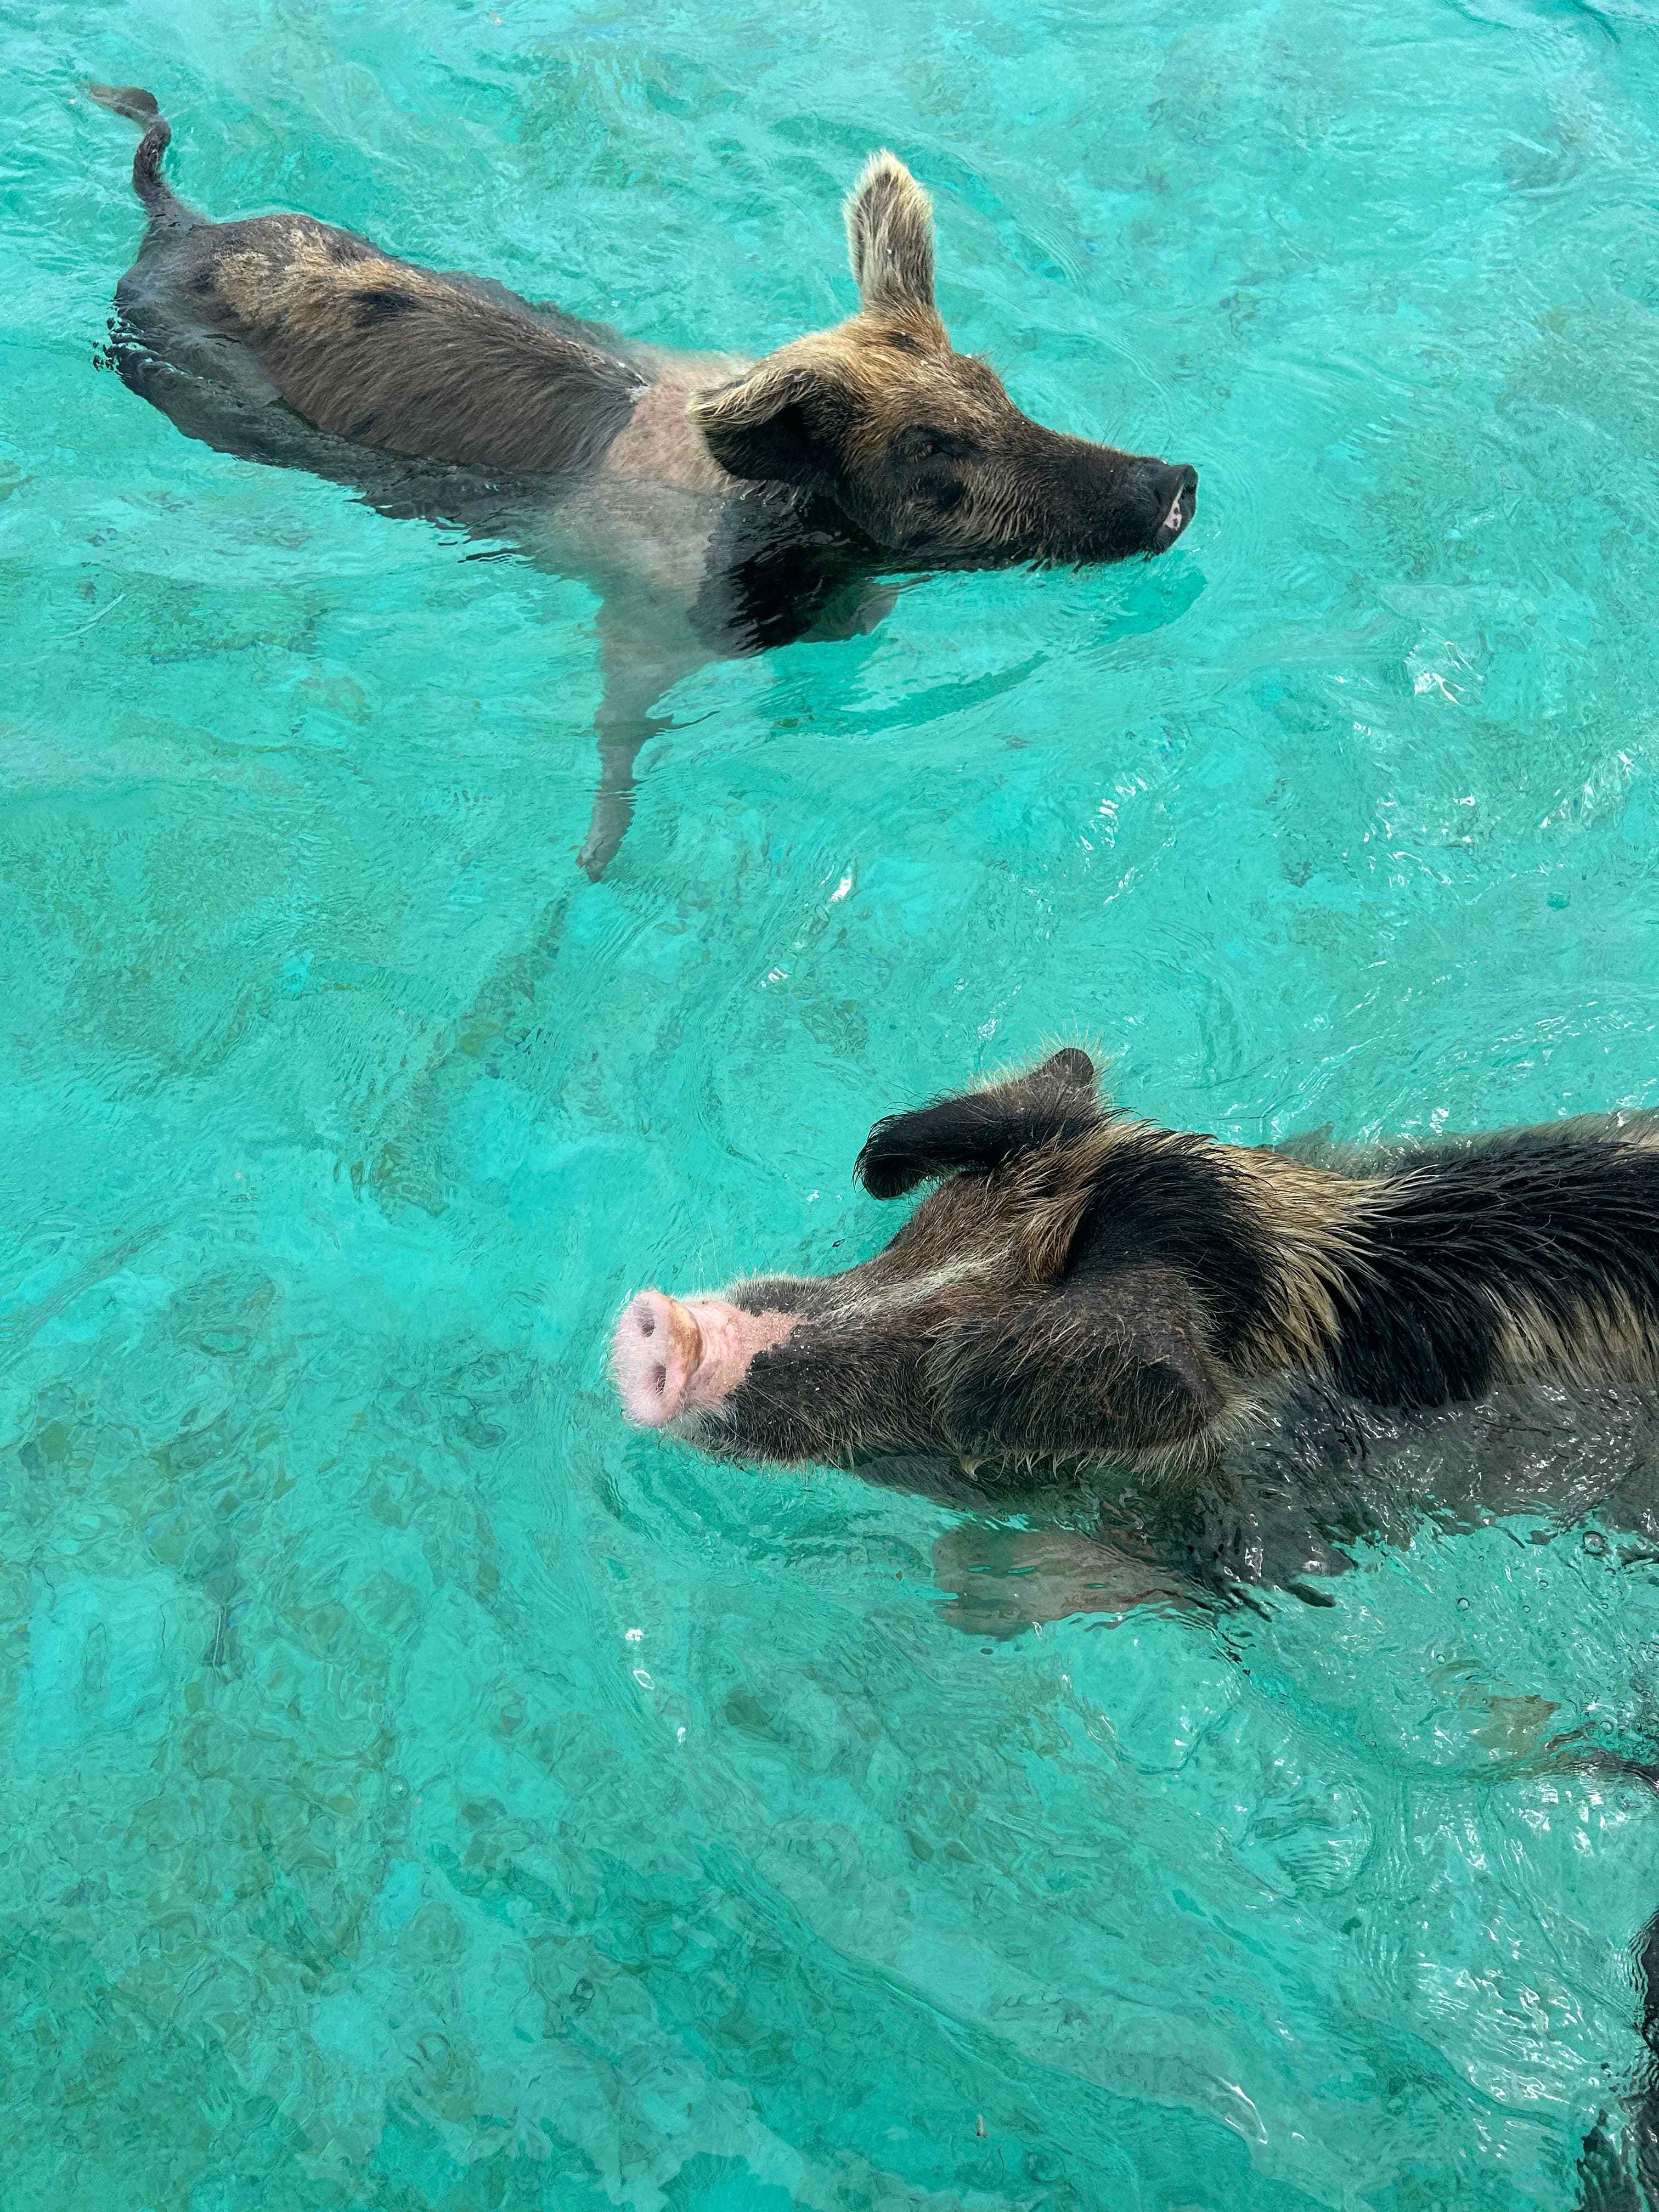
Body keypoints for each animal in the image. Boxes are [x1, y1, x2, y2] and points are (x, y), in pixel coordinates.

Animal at [90, 86, 1199, 874]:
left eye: (992, 386)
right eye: (930, 454)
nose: (1176, 481)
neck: (784, 549)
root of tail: (176, 224)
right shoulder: (643, 618)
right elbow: (619, 732)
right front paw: (594, 865)